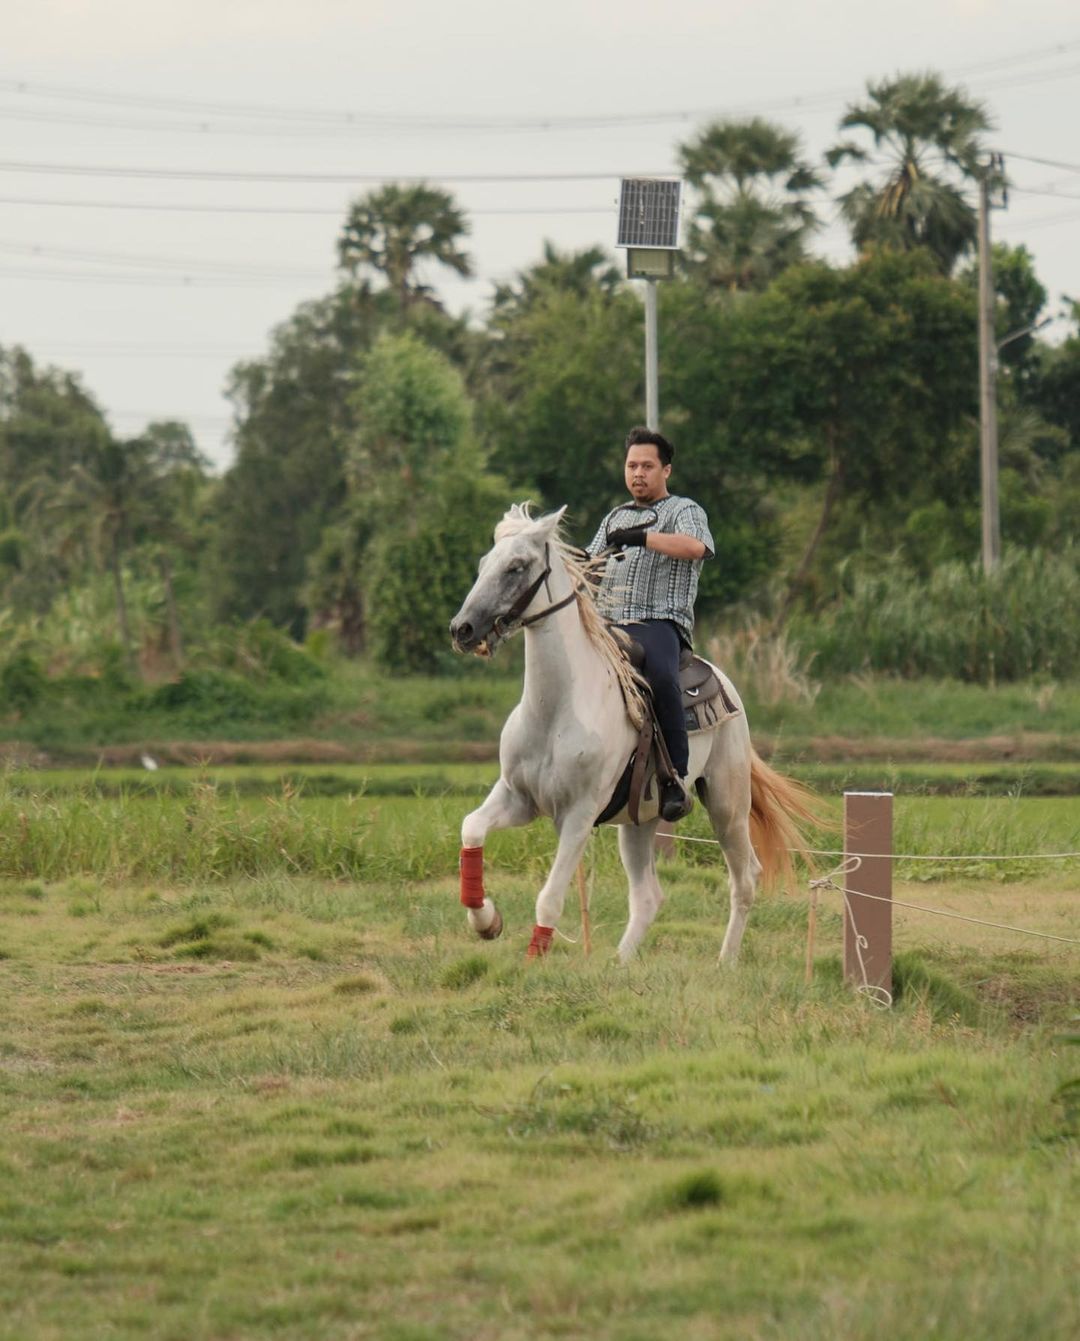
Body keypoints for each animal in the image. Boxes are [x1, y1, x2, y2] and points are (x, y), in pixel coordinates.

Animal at [445, 504, 810, 965]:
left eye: (516, 567)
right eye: (483, 565)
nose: (463, 629)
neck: (557, 710)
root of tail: (724, 681)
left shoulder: (579, 814)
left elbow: (550, 898)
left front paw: (532, 960)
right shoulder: (518, 797)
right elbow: (471, 829)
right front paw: (487, 922)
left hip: (727, 802)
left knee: (745, 878)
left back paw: (725, 962)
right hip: (639, 822)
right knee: (649, 896)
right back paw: (620, 963)